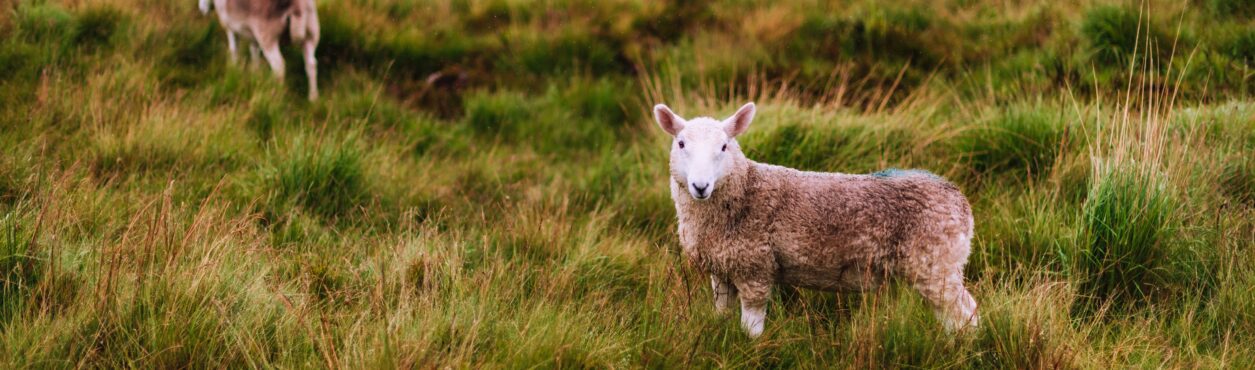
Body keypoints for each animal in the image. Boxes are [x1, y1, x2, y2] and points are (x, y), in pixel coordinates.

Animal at [657, 102, 978, 338]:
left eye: (724, 147)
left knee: (964, 315)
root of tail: (959, 199)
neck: (744, 189)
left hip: (936, 263)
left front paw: (751, 348)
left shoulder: (755, 268)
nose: (700, 186)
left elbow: (752, 327)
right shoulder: (722, 269)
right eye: (681, 144)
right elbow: (721, 312)